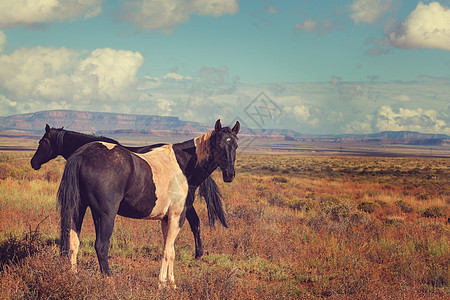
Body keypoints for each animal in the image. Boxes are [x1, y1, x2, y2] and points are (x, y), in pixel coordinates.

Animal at [58, 119, 241, 286]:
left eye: (235, 145)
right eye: (218, 144)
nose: (229, 175)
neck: (183, 167)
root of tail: (81, 155)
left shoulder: (166, 219)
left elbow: (170, 249)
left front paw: (170, 282)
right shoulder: (177, 216)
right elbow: (168, 251)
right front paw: (163, 283)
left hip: (78, 208)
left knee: (73, 242)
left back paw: (74, 277)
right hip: (105, 215)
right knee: (101, 245)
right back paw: (109, 279)